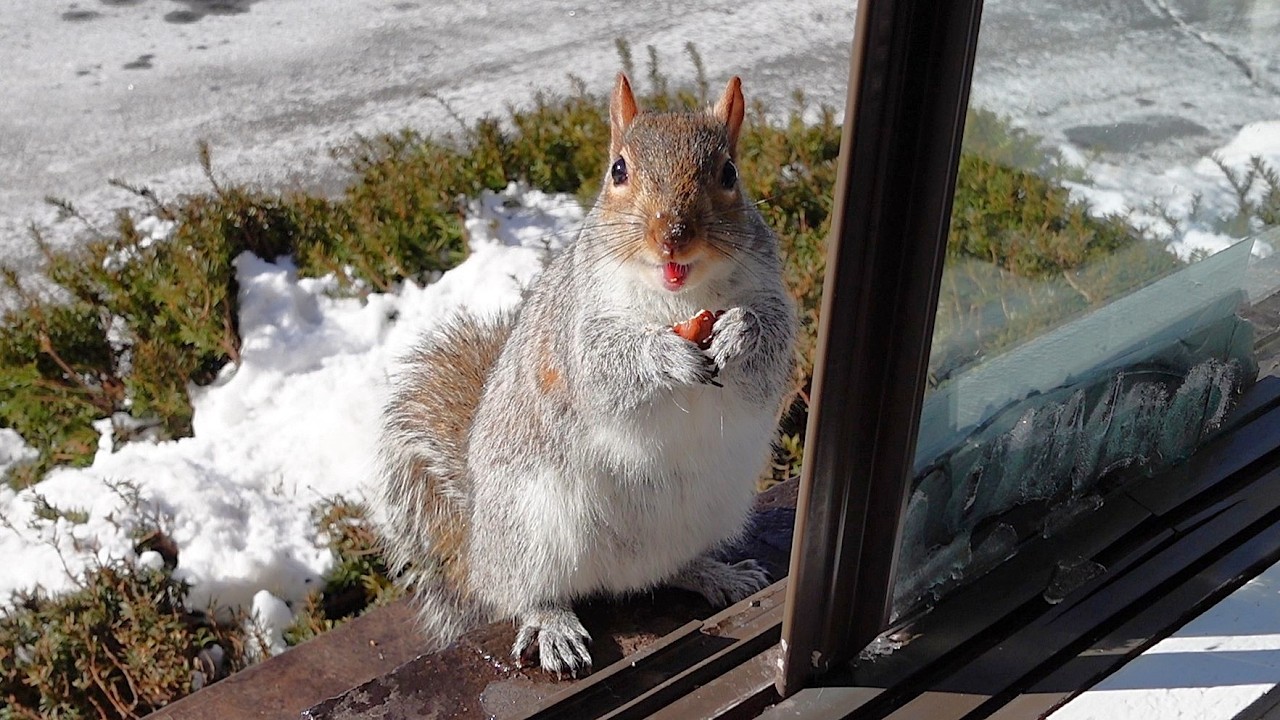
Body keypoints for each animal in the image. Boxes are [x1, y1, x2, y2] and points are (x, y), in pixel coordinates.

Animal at [374, 72, 798, 676]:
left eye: (729, 174)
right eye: (618, 170)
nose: (672, 235)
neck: (680, 297)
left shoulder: (771, 297)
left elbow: (771, 345)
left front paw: (740, 331)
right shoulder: (578, 327)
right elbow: (604, 365)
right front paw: (667, 357)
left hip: (707, 513)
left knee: (669, 570)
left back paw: (716, 573)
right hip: (532, 531)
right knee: (526, 593)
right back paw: (553, 626)